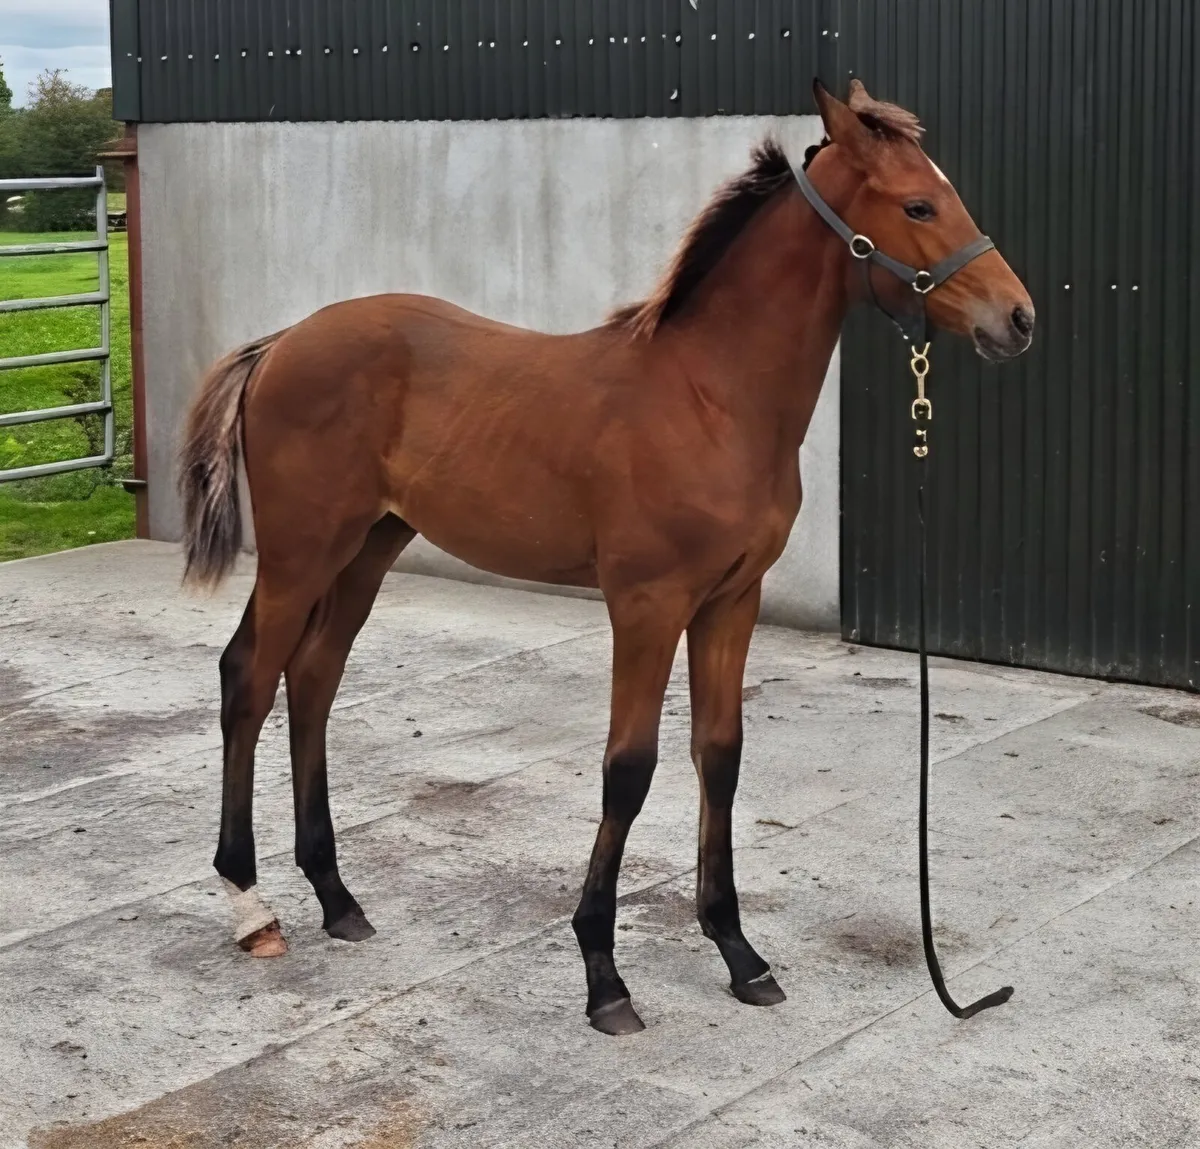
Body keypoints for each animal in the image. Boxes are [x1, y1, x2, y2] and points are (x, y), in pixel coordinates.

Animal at [178, 79, 1034, 1037]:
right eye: (918, 203)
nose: (1018, 318)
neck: (710, 396)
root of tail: (282, 340)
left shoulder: (731, 601)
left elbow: (720, 754)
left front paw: (739, 951)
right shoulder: (648, 604)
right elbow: (629, 769)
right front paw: (603, 974)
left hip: (369, 547)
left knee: (314, 678)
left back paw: (336, 895)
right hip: (301, 551)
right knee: (251, 677)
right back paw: (252, 905)